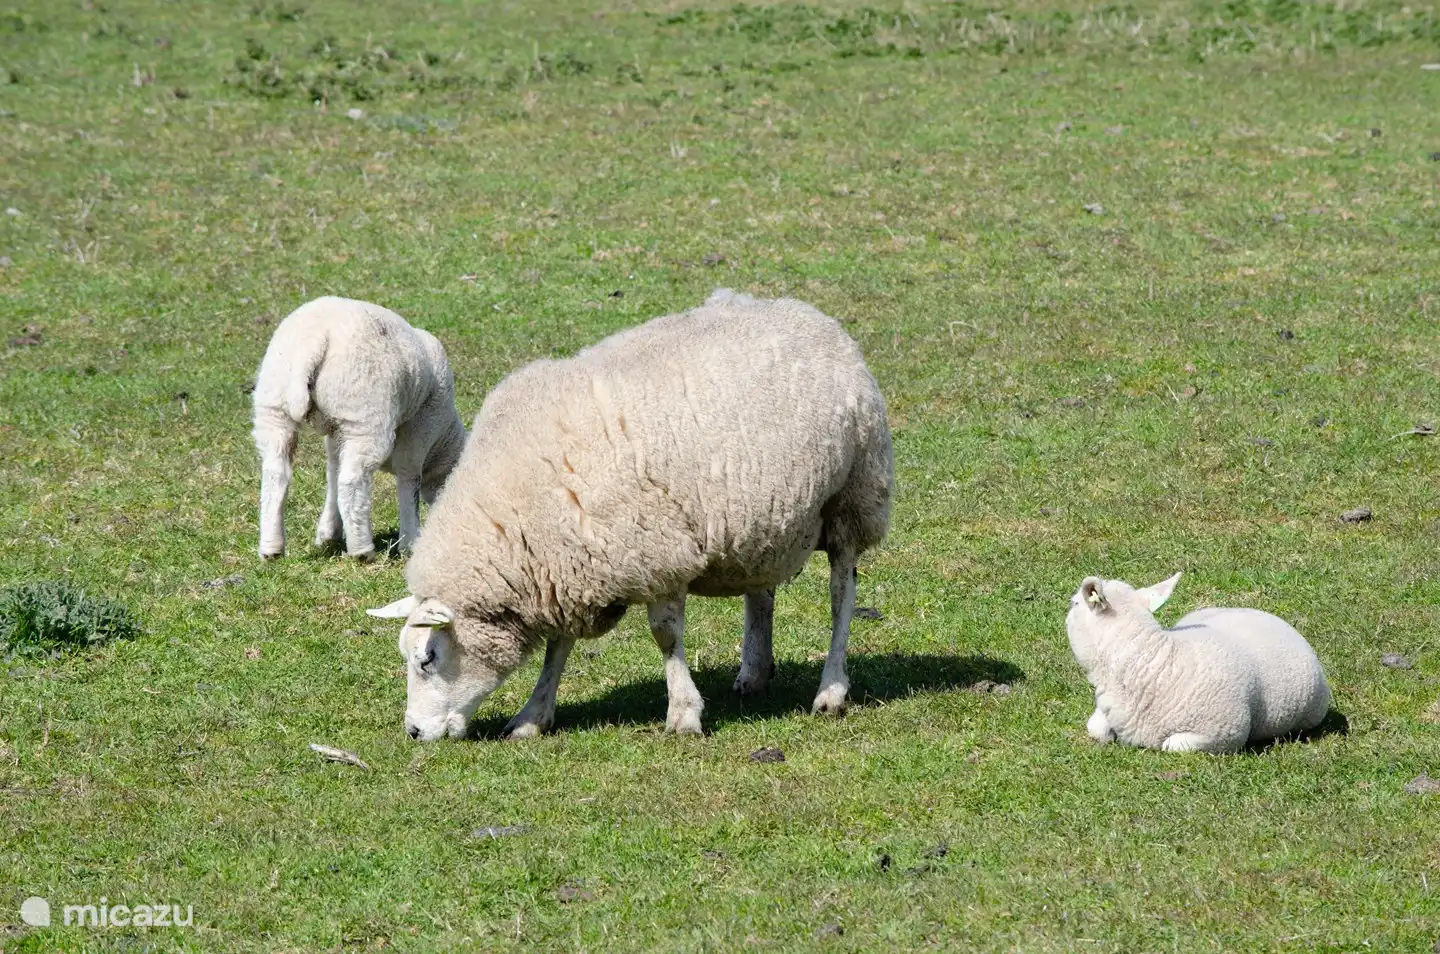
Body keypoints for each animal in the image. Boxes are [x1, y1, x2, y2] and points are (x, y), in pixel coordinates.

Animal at [251, 296, 466, 561]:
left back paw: (272, 549)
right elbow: (409, 479)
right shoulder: (421, 426)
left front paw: (329, 532)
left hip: (274, 405)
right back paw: (362, 550)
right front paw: (410, 541)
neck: (442, 440)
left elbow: (332, 472)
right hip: (365, 413)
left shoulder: (336, 433)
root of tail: (314, 341)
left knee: (276, 473)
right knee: (353, 480)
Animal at [367, 288, 894, 741]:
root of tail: (813, 316)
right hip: (761, 519)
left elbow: (665, 636)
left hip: (854, 496)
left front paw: (683, 713)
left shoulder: (658, 554)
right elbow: (558, 646)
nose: (413, 732)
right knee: (760, 592)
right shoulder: (566, 569)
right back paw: (754, 672)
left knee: (841, 594)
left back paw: (831, 690)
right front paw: (533, 715)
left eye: (427, 658)